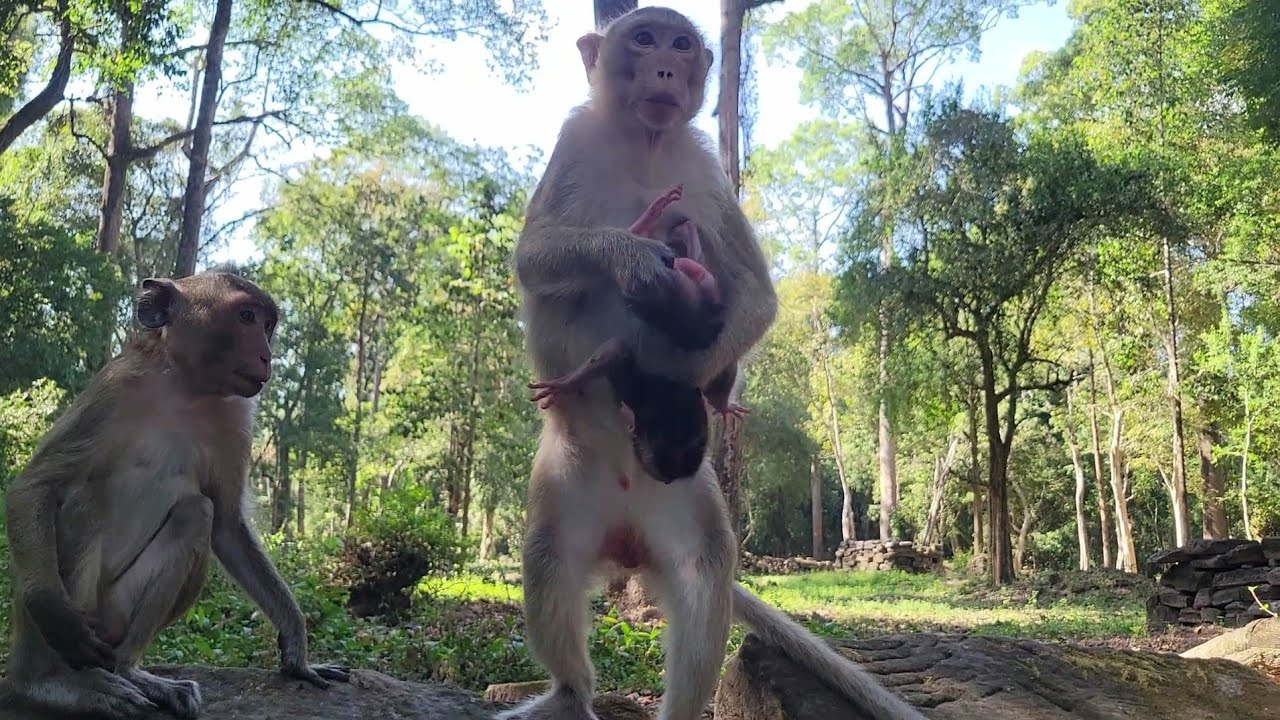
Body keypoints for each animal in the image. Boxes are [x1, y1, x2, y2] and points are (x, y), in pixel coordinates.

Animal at [4, 271, 349, 719]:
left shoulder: (235, 419)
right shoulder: (111, 390)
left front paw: (297, 650)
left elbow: (226, 526)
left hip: (114, 619)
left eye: (267, 324)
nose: (267, 355)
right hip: (80, 621)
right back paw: (52, 681)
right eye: (247, 316)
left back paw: (131, 670)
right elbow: (36, 484)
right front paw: (49, 607)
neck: (185, 388)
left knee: (195, 514)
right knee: (81, 502)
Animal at [502, 7, 924, 720]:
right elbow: (532, 257)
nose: (666, 70)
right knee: (549, 557)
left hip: (688, 499)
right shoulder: (575, 142)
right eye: (643, 39)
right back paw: (569, 691)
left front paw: (687, 377)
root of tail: (626, 538)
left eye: (679, 44)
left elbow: (755, 295)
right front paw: (631, 253)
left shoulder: (704, 173)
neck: (645, 145)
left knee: (705, 568)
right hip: (565, 485)